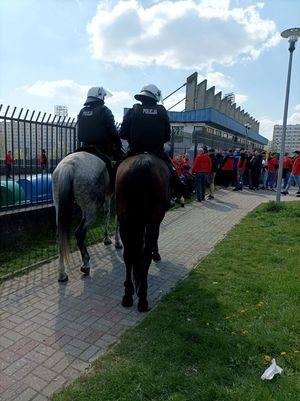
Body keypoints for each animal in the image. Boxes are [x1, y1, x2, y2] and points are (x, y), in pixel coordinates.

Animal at [52, 151, 122, 282]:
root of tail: (69, 165)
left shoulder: (108, 195)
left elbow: (107, 214)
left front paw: (107, 238)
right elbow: (116, 217)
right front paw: (117, 242)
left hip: (60, 206)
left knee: (60, 236)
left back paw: (62, 274)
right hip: (91, 209)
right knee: (79, 233)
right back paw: (85, 264)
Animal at [115, 152, 170, 310]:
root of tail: (141, 165)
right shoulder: (154, 222)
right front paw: (156, 253)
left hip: (125, 222)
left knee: (128, 255)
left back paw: (128, 295)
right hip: (151, 222)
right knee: (145, 256)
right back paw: (143, 297)